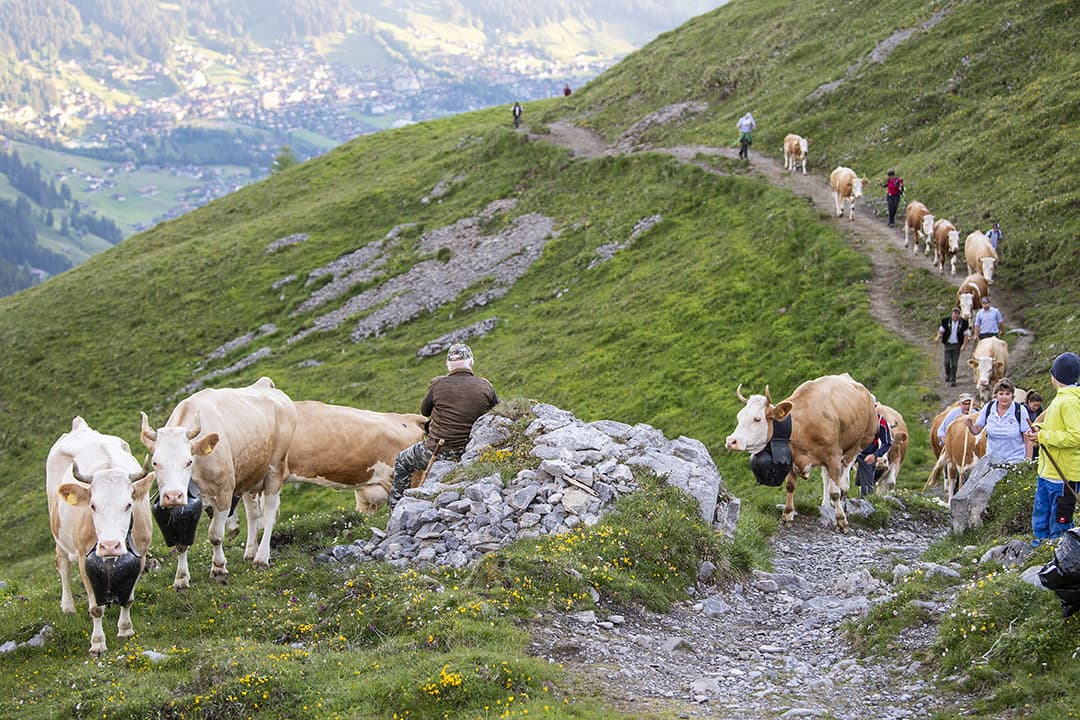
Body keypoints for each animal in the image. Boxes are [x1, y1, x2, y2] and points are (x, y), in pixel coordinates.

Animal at [46, 417, 153, 656]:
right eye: (93, 505)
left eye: (128, 504)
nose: (110, 546)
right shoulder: (83, 558)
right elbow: (95, 608)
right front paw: (97, 643)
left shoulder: (141, 555)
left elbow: (128, 599)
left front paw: (125, 629)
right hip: (58, 532)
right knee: (62, 563)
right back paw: (67, 606)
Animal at [140, 376, 297, 588]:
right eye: (155, 462)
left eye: (188, 461)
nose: (173, 495)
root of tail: (265, 384)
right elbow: (180, 542)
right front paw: (181, 578)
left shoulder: (224, 493)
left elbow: (215, 535)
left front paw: (218, 568)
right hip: (250, 473)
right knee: (253, 513)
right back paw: (250, 552)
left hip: (275, 467)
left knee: (270, 512)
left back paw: (261, 558)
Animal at [725, 374, 878, 530]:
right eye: (739, 417)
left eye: (757, 419)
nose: (731, 441)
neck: (803, 424)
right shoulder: (793, 457)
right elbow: (790, 487)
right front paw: (787, 515)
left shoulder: (833, 457)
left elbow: (835, 492)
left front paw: (842, 520)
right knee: (826, 477)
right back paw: (825, 503)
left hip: (860, 442)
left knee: (846, 471)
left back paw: (843, 493)